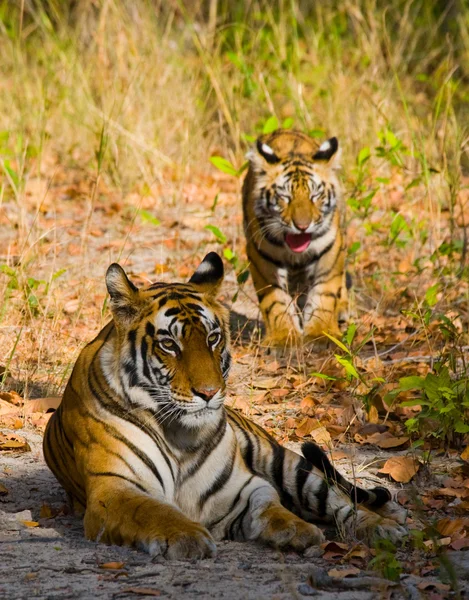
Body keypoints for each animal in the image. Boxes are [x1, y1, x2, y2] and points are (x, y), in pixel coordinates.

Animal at [44, 252, 406, 556]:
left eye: (213, 338)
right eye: (169, 344)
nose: (209, 392)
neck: (179, 436)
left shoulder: (244, 486)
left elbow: (271, 507)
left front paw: (297, 529)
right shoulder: (115, 488)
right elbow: (153, 511)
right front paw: (188, 537)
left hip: (288, 464)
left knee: (342, 499)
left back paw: (386, 527)